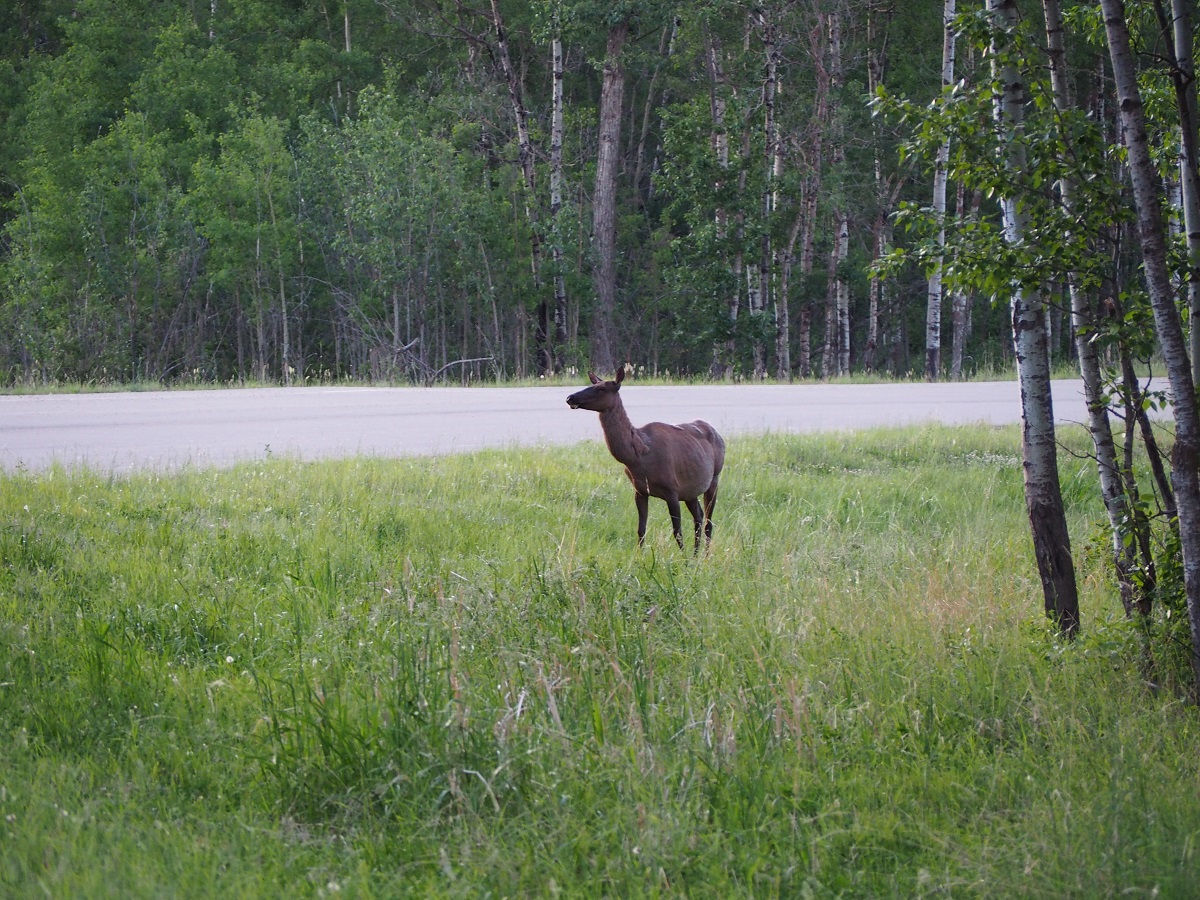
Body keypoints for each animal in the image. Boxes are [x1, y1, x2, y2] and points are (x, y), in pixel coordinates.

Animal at [567, 366, 725, 553]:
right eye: (593, 384)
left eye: (602, 388)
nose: (570, 397)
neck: (639, 458)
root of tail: (718, 435)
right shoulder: (640, 491)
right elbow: (641, 530)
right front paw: (640, 556)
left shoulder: (672, 490)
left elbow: (677, 531)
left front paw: (682, 558)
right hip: (690, 489)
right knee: (699, 517)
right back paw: (695, 554)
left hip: (714, 478)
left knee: (708, 522)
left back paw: (704, 556)